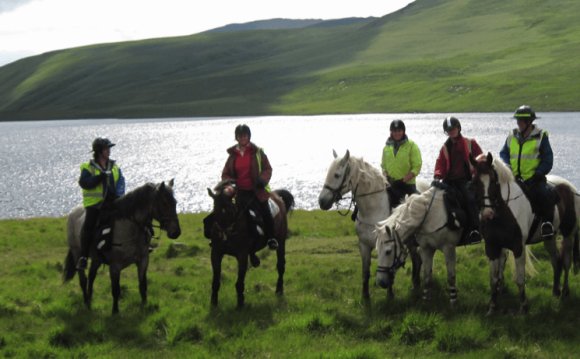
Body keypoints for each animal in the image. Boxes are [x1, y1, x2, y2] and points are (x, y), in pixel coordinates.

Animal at [62, 180, 180, 316]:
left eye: (175, 202)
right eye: (164, 203)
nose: (176, 232)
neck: (130, 227)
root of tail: (73, 213)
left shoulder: (143, 261)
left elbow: (143, 285)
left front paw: (144, 305)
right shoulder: (115, 267)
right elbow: (116, 290)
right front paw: (115, 311)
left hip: (97, 259)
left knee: (91, 277)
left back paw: (90, 299)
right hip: (77, 254)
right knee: (83, 279)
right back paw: (86, 303)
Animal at [318, 150, 426, 300]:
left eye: (337, 175)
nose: (321, 201)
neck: (373, 209)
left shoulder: (388, 245)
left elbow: (390, 270)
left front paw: (390, 296)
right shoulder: (364, 246)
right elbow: (365, 272)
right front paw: (365, 296)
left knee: (418, 259)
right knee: (417, 259)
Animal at [472, 154, 580, 316]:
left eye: (493, 181)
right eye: (474, 181)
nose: (487, 214)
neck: (504, 211)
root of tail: (570, 188)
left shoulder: (518, 247)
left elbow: (520, 279)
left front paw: (523, 307)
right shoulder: (492, 247)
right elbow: (493, 279)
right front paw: (492, 307)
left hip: (568, 234)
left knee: (566, 262)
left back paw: (565, 292)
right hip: (549, 238)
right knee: (556, 260)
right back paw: (555, 291)